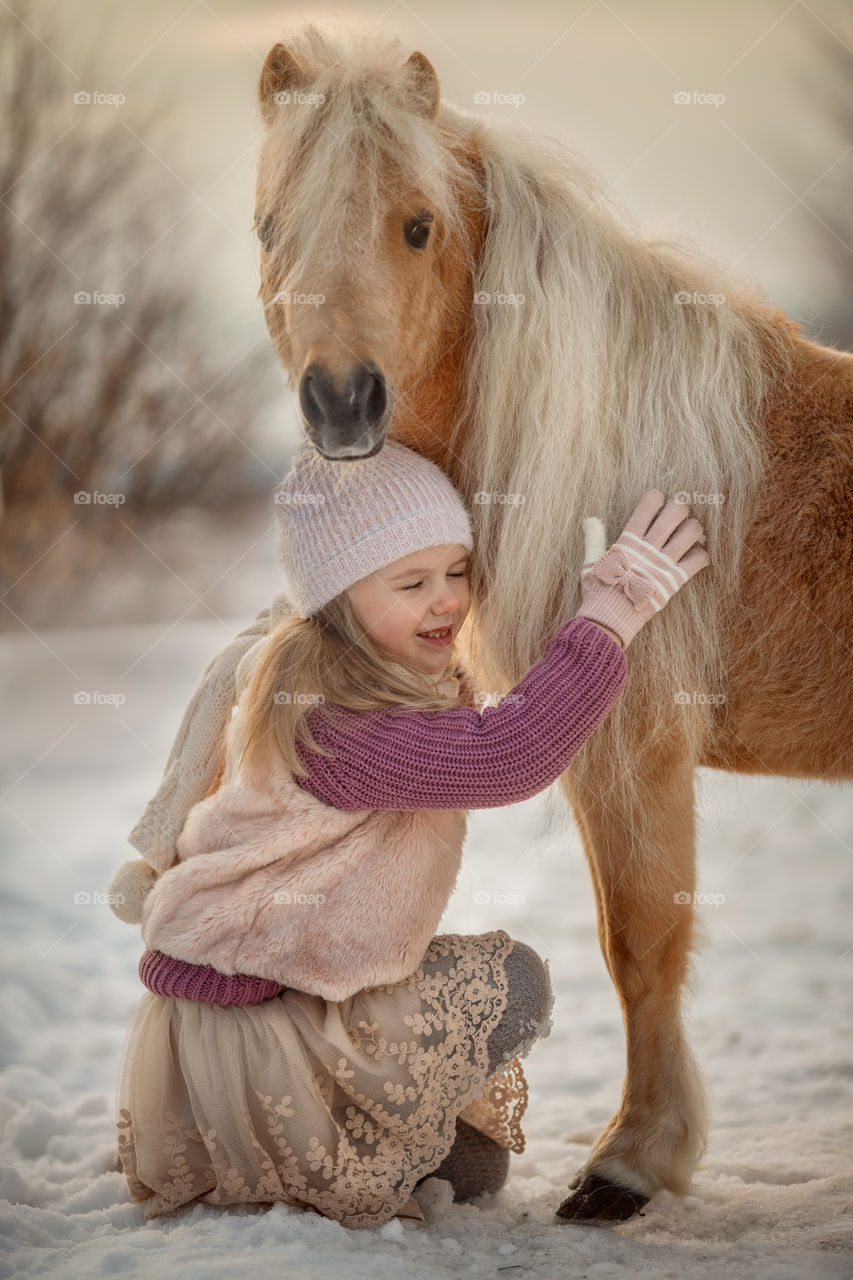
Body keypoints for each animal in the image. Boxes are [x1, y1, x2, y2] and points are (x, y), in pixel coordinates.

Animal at [249, 20, 850, 1218]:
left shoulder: (632, 743)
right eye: (270, 225)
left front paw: (628, 1163)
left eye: (418, 225)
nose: (343, 404)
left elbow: (641, 939)